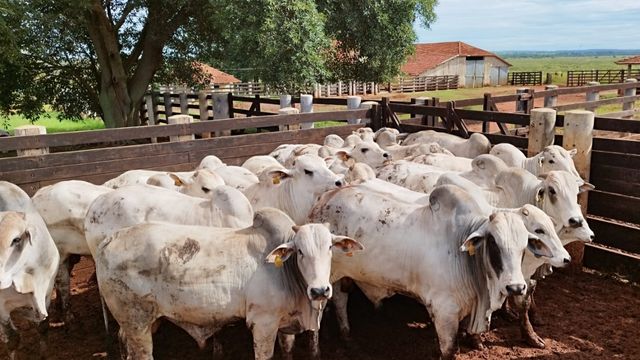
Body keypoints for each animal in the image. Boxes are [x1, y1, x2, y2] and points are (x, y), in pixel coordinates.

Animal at [96, 208, 364, 360]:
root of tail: (111, 238)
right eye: (299, 251)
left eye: (330, 247)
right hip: (136, 322)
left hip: (141, 323)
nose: (320, 290)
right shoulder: (263, 323)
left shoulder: (284, 324)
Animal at [308, 184, 552, 358]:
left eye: (524, 246)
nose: (516, 287)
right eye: (493, 243)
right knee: (317, 312)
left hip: (342, 276)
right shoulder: (444, 311)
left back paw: (346, 335)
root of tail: (323, 198)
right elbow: (450, 350)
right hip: (322, 280)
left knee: (340, 300)